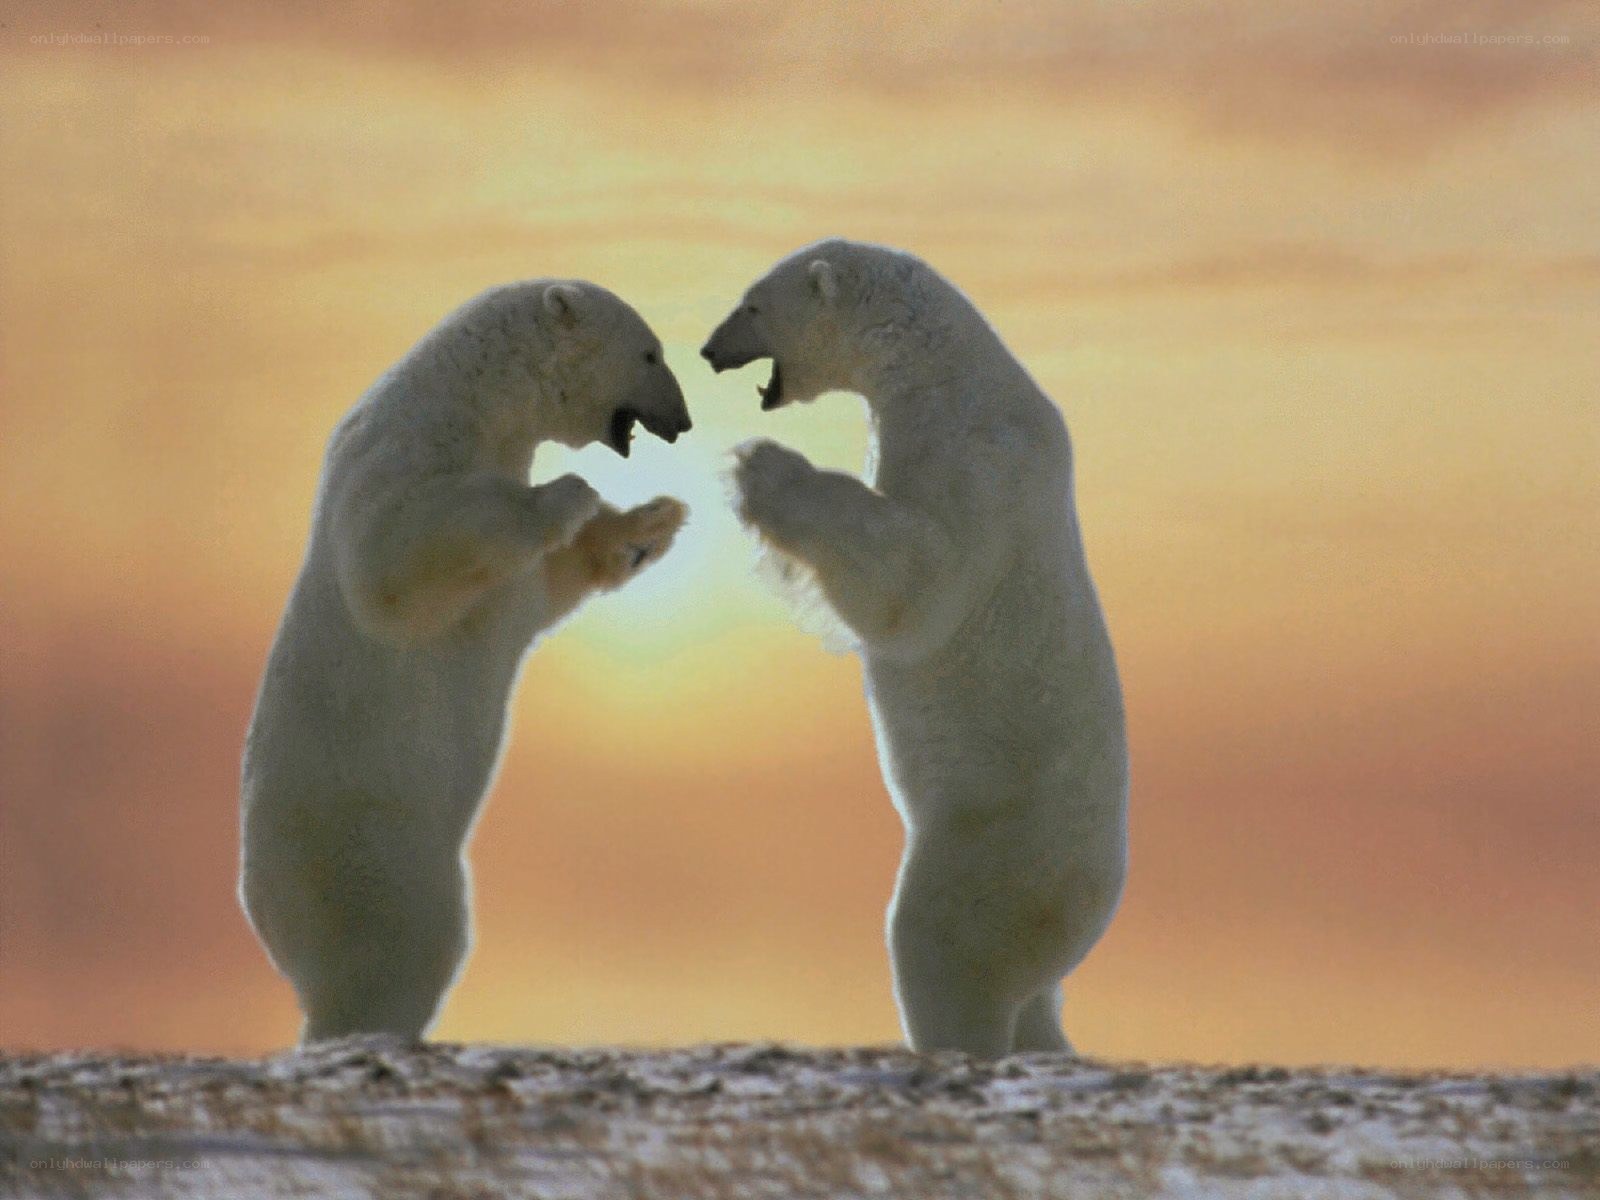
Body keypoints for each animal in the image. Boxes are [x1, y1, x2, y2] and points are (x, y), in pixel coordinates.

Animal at [240, 279, 692, 1043]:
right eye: (650, 352)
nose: (684, 422)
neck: (471, 398)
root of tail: (265, 911)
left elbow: (543, 583)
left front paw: (652, 522)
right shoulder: (402, 452)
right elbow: (395, 560)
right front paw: (567, 492)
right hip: (371, 850)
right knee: (403, 949)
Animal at [702, 238, 1128, 1058]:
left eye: (752, 304)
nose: (708, 352)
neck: (950, 373)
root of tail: (1101, 899)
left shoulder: (976, 457)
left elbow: (922, 580)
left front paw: (760, 466)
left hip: (997, 851)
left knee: (943, 945)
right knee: (1036, 1000)